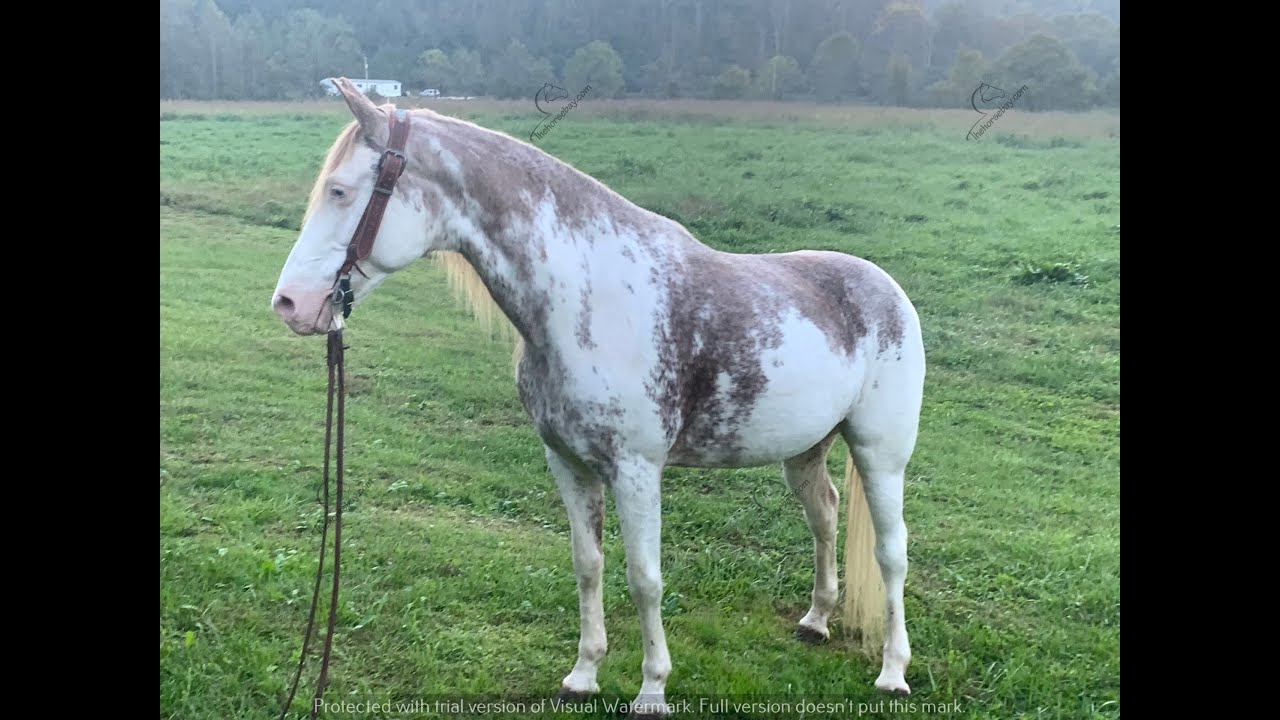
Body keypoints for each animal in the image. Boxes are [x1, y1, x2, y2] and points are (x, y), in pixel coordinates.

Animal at [271, 77, 925, 717]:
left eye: (340, 191)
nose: (291, 304)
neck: (587, 301)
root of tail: (888, 289)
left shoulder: (636, 470)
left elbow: (644, 578)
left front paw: (652, 690)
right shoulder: (568, 462)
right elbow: (588, 565)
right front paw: (583, 675)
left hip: (880, 454)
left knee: (891, 552)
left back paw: (893, 672)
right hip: (806, 451)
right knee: (825, 517)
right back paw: (816, 621)